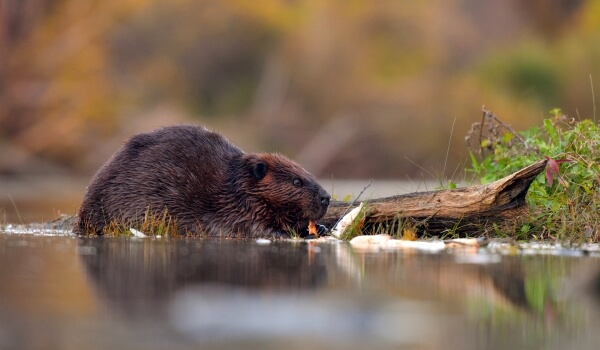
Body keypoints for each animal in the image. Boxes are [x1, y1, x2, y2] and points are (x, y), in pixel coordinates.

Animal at [74, 124, 332, 237]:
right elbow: (256, 228)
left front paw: (318, 227)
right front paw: (292, 233)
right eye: (297, 182)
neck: (234, 186)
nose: (326, 197)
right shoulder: (239, 210)